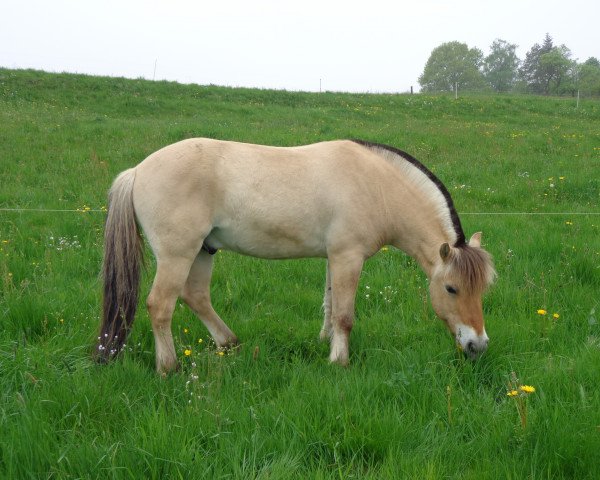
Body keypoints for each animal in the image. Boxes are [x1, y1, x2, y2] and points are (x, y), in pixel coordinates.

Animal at [96, 137, 494, 374]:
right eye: (451, 289)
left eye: (484, 289)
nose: (477, 346)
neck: (376, 186)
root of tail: (137, 171)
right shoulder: (348, 257)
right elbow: (345, 315)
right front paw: (339, 361)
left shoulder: (335, 257)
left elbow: (331, 307)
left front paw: (325, 344)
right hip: (178, 254)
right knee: (160, 305)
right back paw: (169, 368)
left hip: (203, 251)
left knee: (195, 297)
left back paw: (230, 344)